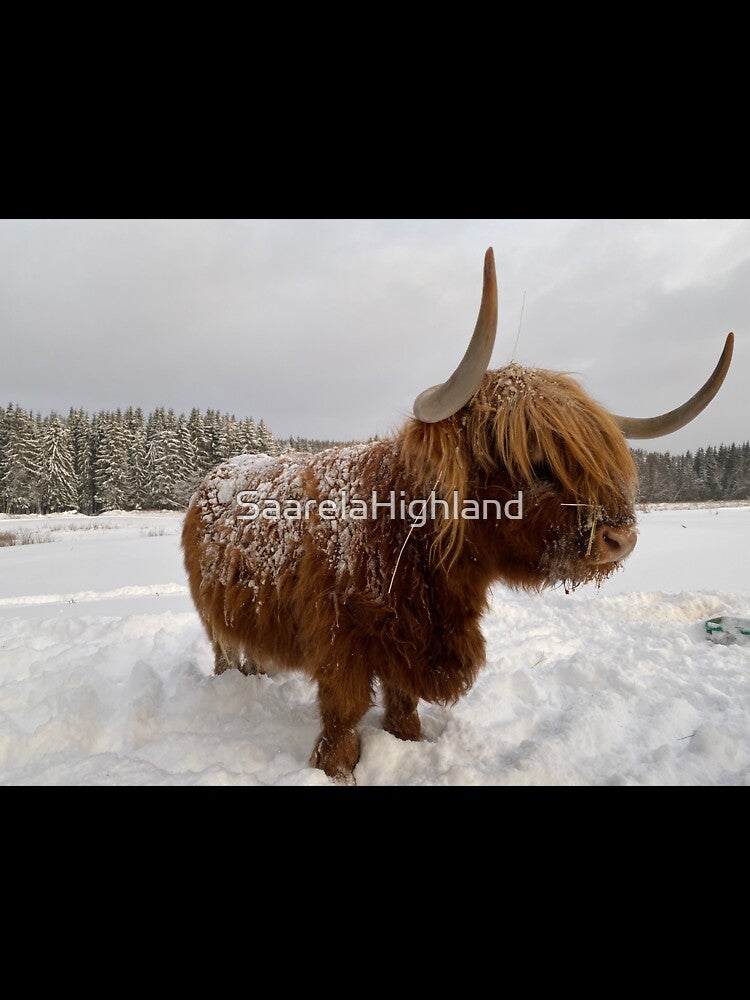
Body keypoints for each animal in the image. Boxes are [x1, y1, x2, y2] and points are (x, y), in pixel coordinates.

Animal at [182, 249, 734, 782]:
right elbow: (342, 720)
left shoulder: (409, 645)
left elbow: (403, 709)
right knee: (225, 651)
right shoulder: (342, 644)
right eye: (532, 460)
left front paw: (409, 744)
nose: (620, 537)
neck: (408, 535)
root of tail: (216, 474)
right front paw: (334, 770)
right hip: (213, 614)